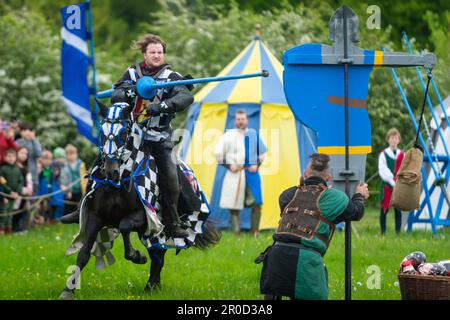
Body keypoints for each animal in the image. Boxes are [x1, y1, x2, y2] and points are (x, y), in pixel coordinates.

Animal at [59, 101, 221, 298]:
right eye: (102, 132)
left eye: (123, 132)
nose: (110, 170)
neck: (119, 181)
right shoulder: (95, 217)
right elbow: (83, 254)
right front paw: (68, 290)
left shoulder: (145, 218)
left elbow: (124, 226)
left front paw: (137, 256)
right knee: (158, 256)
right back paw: (153, 285)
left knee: (157, 256)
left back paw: (150, 286)